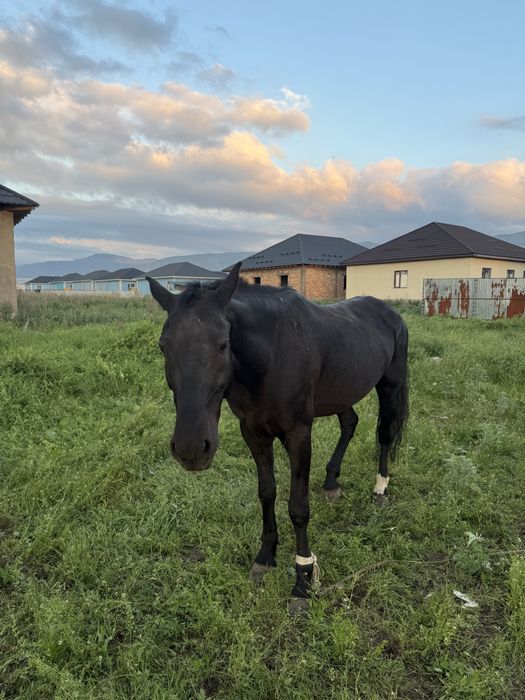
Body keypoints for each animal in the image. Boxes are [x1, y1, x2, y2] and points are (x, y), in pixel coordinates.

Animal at [147, 262, 408, 610]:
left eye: (223, 344)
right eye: (164, 346)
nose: (191, 448)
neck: (271, 356)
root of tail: (390, 313)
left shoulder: (298, 434)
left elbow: (298, 507)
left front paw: (303, 579)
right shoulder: (253, 433)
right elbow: (266, 492)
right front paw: (265, 555)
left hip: (390, 385)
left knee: (384, 434)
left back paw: (380, 488)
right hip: (341, 394)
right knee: (350, 423)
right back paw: (331, 482)